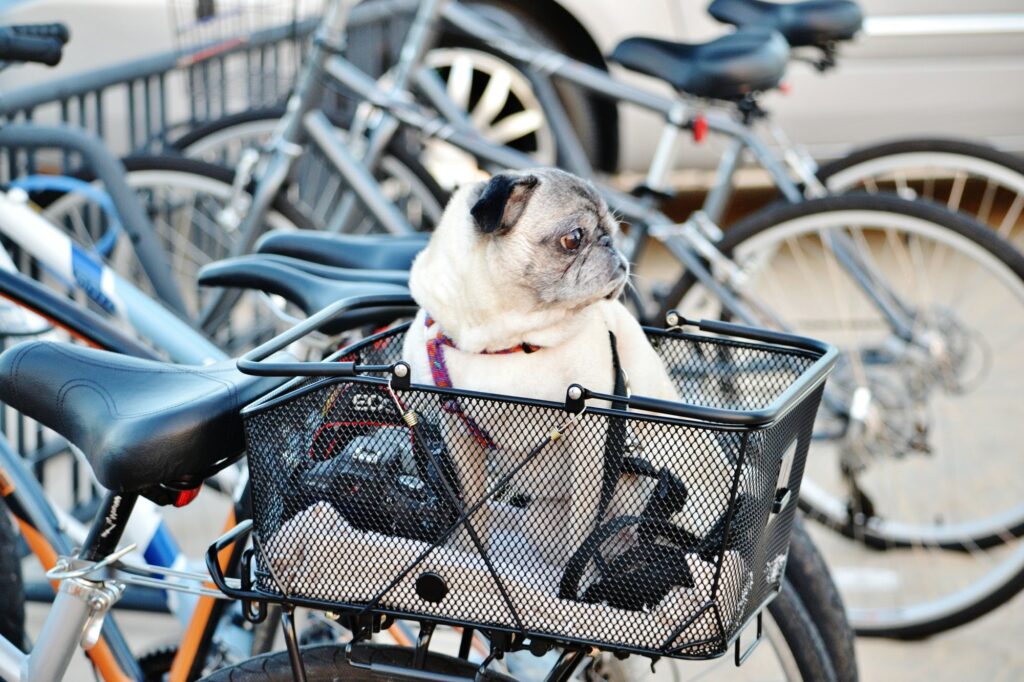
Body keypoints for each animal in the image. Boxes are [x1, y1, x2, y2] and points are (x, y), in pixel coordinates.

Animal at [401, 168, 688, 561]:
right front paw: (469, 555)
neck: (506, 341)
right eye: (573, 239)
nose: (612, 246)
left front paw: (576, 571)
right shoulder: (459, 436)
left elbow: (582, 528)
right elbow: (473, 508)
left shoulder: (591, 441)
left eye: (613, 232)